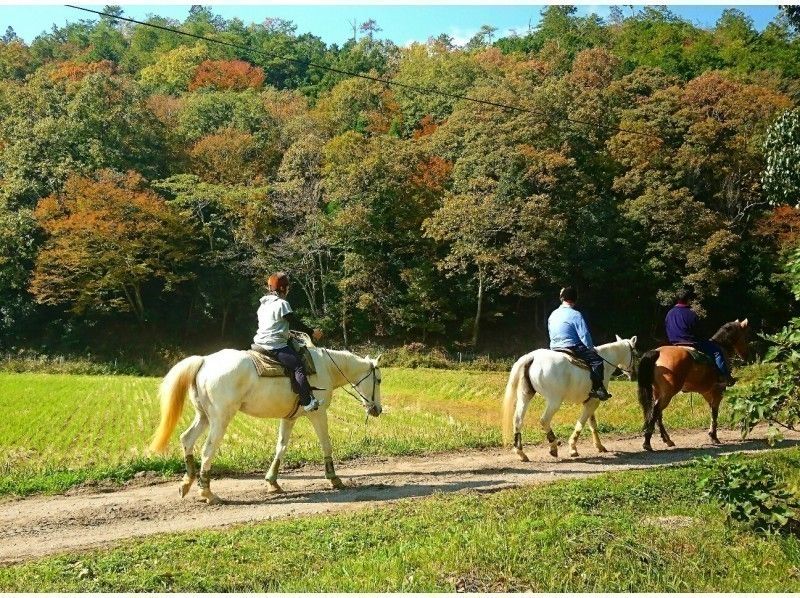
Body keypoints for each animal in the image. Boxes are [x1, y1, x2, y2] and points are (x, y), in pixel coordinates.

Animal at [154, 346, 388, 506]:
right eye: (379, 380)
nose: (377, 409)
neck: (327, 368)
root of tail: (203, 361)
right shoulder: (318, 413)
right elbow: (326, 444)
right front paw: (334, 479)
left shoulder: (289, 418)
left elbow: (281, 447)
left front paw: (272, 482)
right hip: (220, 419)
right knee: (207, 450)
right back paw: (208, 493)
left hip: (203, 417)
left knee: (186, 439)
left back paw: (186, 483)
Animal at [500, 336, 636, 462]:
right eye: (635, 353)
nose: (633, 374)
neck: (605, 363)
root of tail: (532, 357)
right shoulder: (593, 402)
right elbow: (581, 424)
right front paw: (573, 448)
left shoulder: (590, 401)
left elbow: (592, 424)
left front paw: (599, 446)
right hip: (554, 401)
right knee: (544, 420)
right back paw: (553, 446)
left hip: (525, 396)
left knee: (518, 420)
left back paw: (521, 453)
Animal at [636, 318, 752, 450]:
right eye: (745, 336)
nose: (747, 355)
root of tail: (657, 352)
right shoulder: (718, 391)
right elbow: (715, 413)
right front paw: (714, 436)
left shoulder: (707, 392)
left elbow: (712, 411)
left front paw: (712, 434)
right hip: (667, 394)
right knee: (656, 411)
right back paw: (647, 442)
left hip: (658, 392)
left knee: (657, 414)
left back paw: (667, 440)